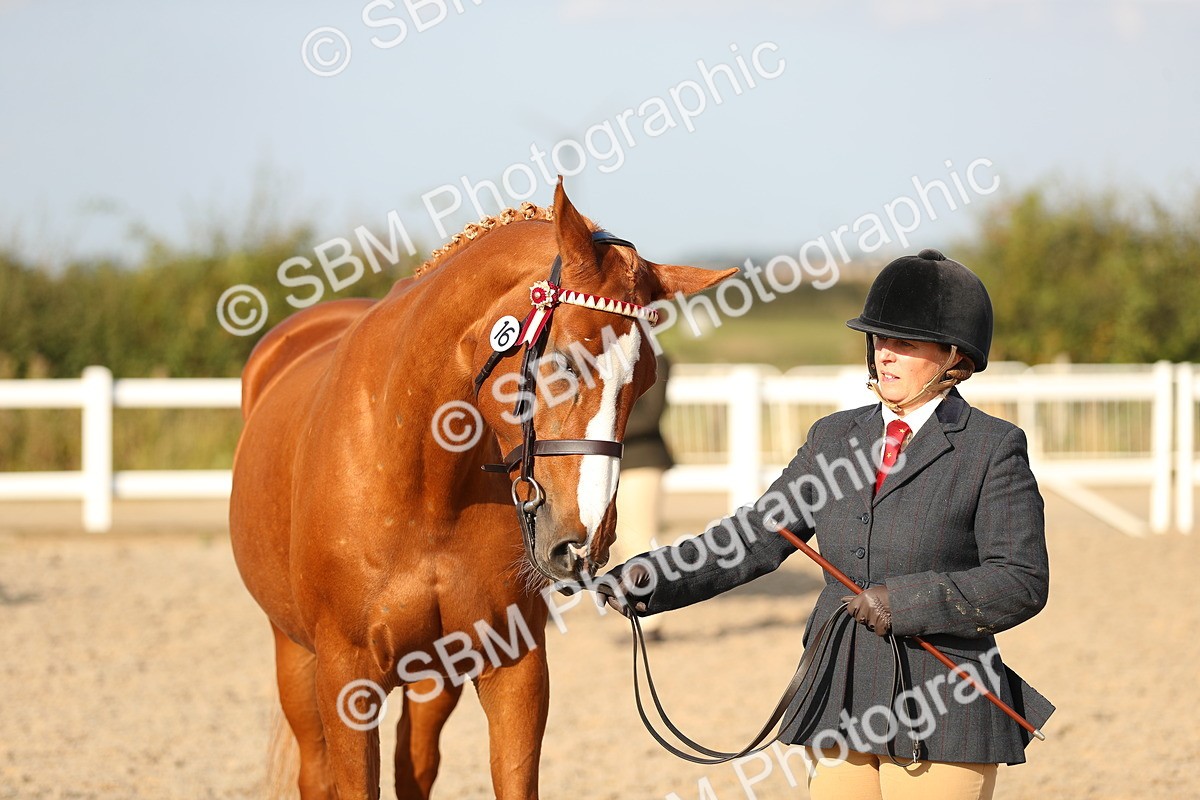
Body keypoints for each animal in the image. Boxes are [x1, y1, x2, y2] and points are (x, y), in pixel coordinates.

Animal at [229, 179, 735, 799]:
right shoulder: (346, 682)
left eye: (645, 383)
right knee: (315, 770)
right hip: (294, 657)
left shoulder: (514, 667)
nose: (583, 543)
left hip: (431, 676)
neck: (423, 488)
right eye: (563, 362)